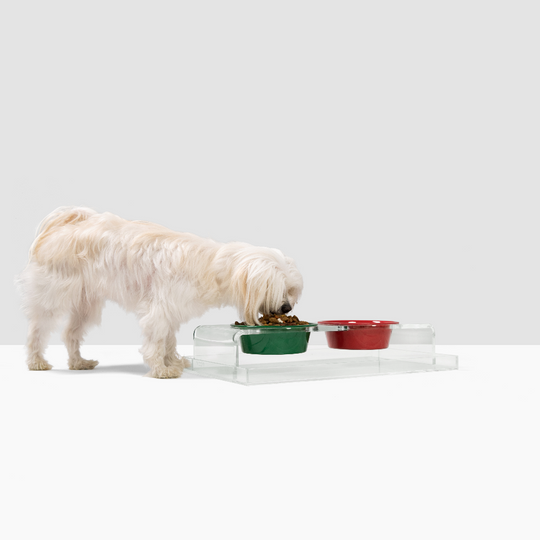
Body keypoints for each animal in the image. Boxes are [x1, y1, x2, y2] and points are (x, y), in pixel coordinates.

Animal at [17, 209, 304, 378]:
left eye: (291, 291)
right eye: (278, 290)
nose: (288, 308)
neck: (212, 265)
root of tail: (60, 226)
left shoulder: (170, 312)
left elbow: (168, 341)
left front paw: (172, 362)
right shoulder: (160, 311)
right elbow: (156, 341)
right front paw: (161, 369)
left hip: (86, 303)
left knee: (70, 334)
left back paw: (79, 363)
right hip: (52, 297)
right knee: (37, 330)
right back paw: (36, 362)